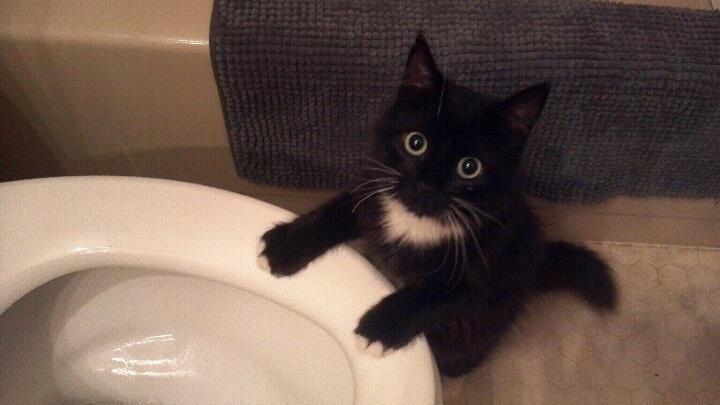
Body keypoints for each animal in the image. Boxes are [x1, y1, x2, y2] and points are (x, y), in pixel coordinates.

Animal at [257, 33, 617, 377]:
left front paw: (378, 328)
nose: (427, 183)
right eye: (416, 142)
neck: (418, 218)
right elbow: (338, 210)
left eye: (469, 167)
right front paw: (284, 245)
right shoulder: (375, 182)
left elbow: (435, 291)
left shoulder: (492, 261)